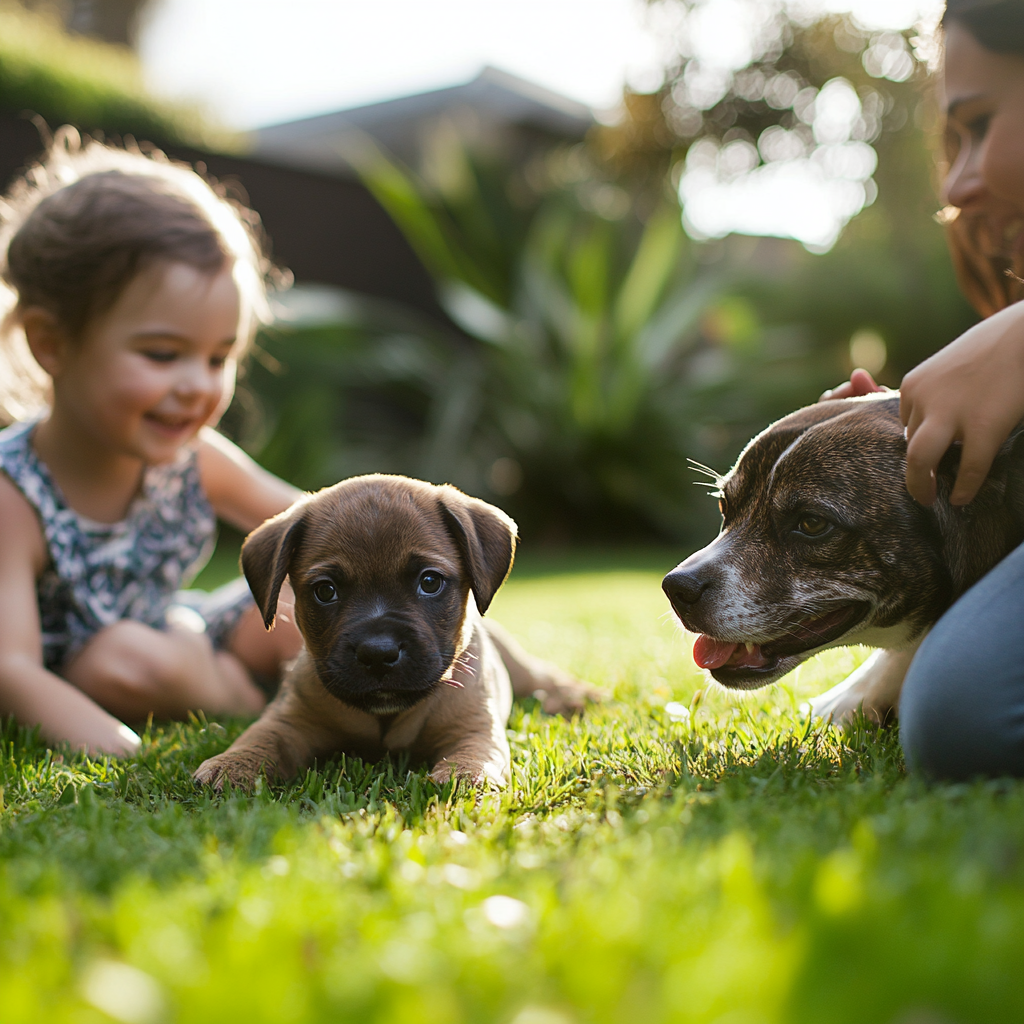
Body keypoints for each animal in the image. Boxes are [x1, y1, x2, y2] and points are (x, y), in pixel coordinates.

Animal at [193, 473, 585, 790]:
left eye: (430, 582)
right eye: (325, 591)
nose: (378, 653)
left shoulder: (474, 728)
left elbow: (477, 752)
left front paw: (466, 773)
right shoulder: (288, 721)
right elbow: (259, 738)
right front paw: (232, 764)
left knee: (540, 675)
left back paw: (573, 697)